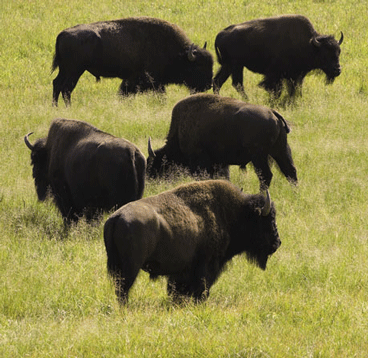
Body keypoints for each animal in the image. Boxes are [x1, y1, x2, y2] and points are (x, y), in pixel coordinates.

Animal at [51, 16, 213, 105]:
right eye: (198, 67)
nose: (208, 85)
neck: (179, 54)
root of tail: (63, 33)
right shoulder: (145, 80)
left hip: (66, 70)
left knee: (57, 84)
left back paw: (56, 107)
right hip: (74, 71)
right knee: (66, 88)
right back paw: (68, 107)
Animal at [102, 180, 280, 304]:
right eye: (269, 221)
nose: (277, 243)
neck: (233, 214)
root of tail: (116, 217)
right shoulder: (206, 266)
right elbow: (202, 289)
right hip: (131, 267)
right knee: (123, 289)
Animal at [147, 93, 296, 192]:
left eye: (155, 164)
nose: (149, 181)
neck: (179, 132)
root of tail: (273, 113)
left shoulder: (199, 161)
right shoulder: (219, 163)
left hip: (259, 156)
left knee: (266, 175)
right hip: (280, 150)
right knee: (290, 171)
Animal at [214, 14, 344, 99]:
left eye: (338, 52)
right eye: (325, 54)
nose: (337, 70)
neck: (310, 44)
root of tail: (221, 33)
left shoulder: (297, 75)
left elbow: (296, 88)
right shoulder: (275, 74)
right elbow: (276, 89)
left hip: (228, 66)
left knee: (218, 81)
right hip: (236, 65)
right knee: (237, 83)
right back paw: (247, 99)